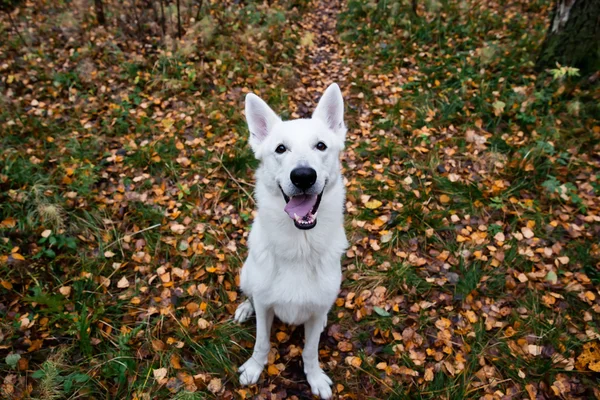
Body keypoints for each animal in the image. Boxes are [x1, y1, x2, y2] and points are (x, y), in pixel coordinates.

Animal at [233, 83, 346, 398]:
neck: (300, 246)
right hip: (247, 274)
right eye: (281, 149)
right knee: (249, 293)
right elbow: (261, 342)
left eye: (321, 146)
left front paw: (315, 377)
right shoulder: (265, 308)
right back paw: (244, 307)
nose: (304, 176)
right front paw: (254, 368)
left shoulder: (316, 313)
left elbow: (310, 351)